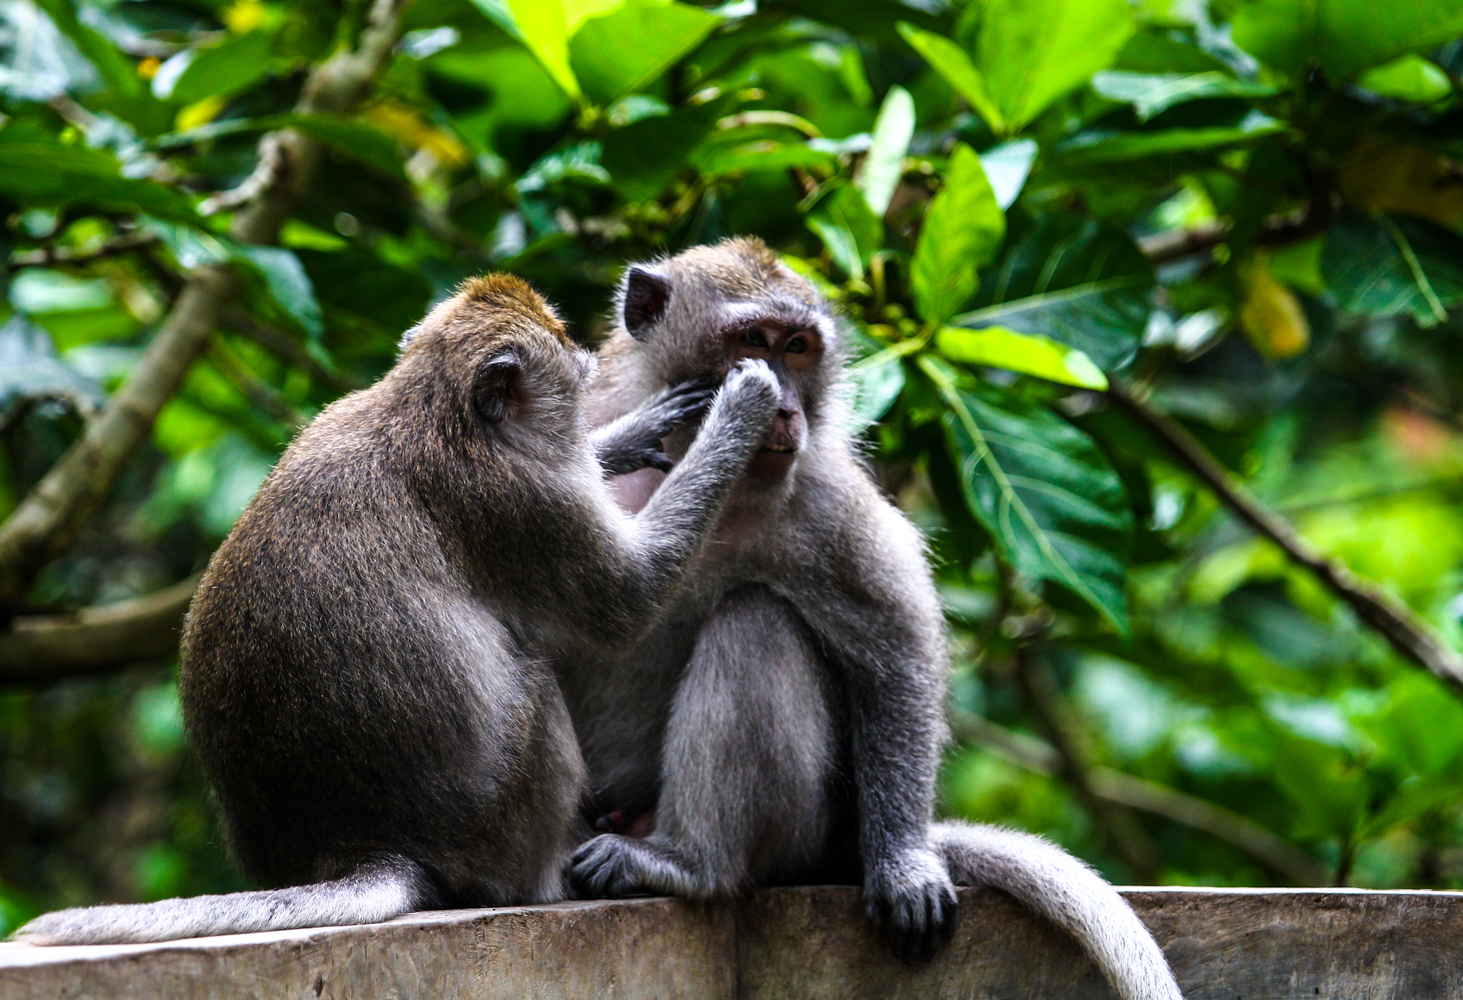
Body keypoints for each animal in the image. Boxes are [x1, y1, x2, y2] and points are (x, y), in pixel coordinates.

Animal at [14, 273, 790, 947]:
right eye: (561, 340)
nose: (585, 357)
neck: (431, 403)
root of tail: (366, 846)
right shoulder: (522, 501)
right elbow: (629, 599)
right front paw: (743, 405)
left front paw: (633, 431)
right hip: (501, 830)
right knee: (535, 684)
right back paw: (554, 874)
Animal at [553, 242, 1182, 1000]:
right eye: (751, 340)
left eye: (797, 347)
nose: (784, 410)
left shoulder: (826, 500)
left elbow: (896, 653)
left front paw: (903, 862)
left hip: (798, 831)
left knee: (756, 621)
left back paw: (688, 864)